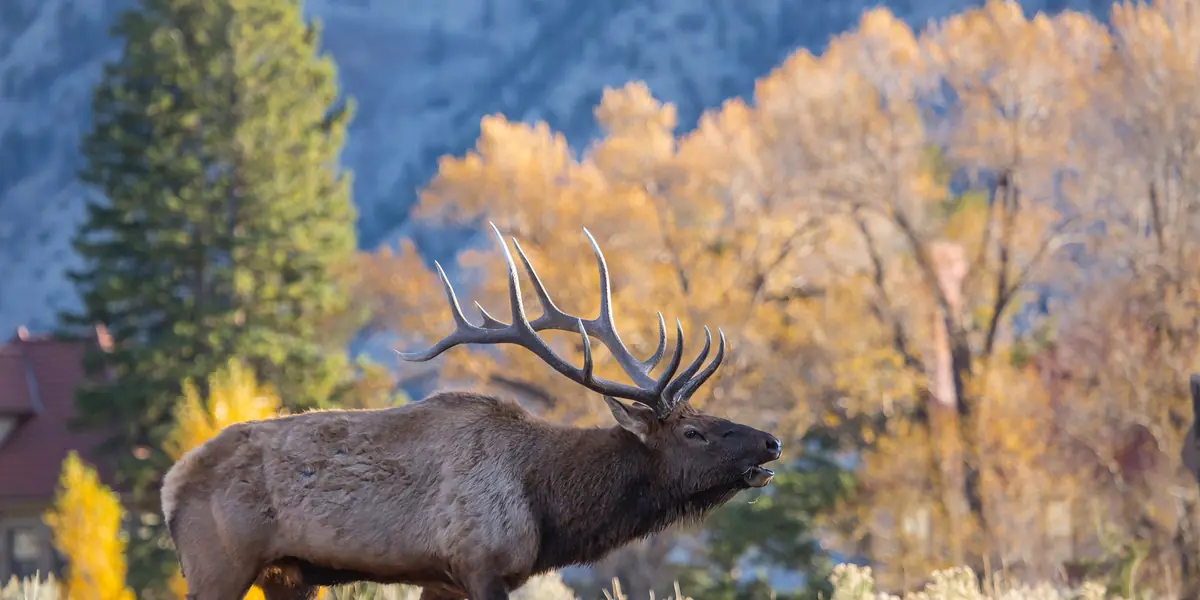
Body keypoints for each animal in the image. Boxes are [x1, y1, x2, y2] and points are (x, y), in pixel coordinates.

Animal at [160, 223, 783, 600]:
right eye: (694, 431)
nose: (772, 441)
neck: (548, 505)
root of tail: (170, 484)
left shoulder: (443, 577)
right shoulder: (481, 560)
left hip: (288, 576)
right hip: (217, 562)